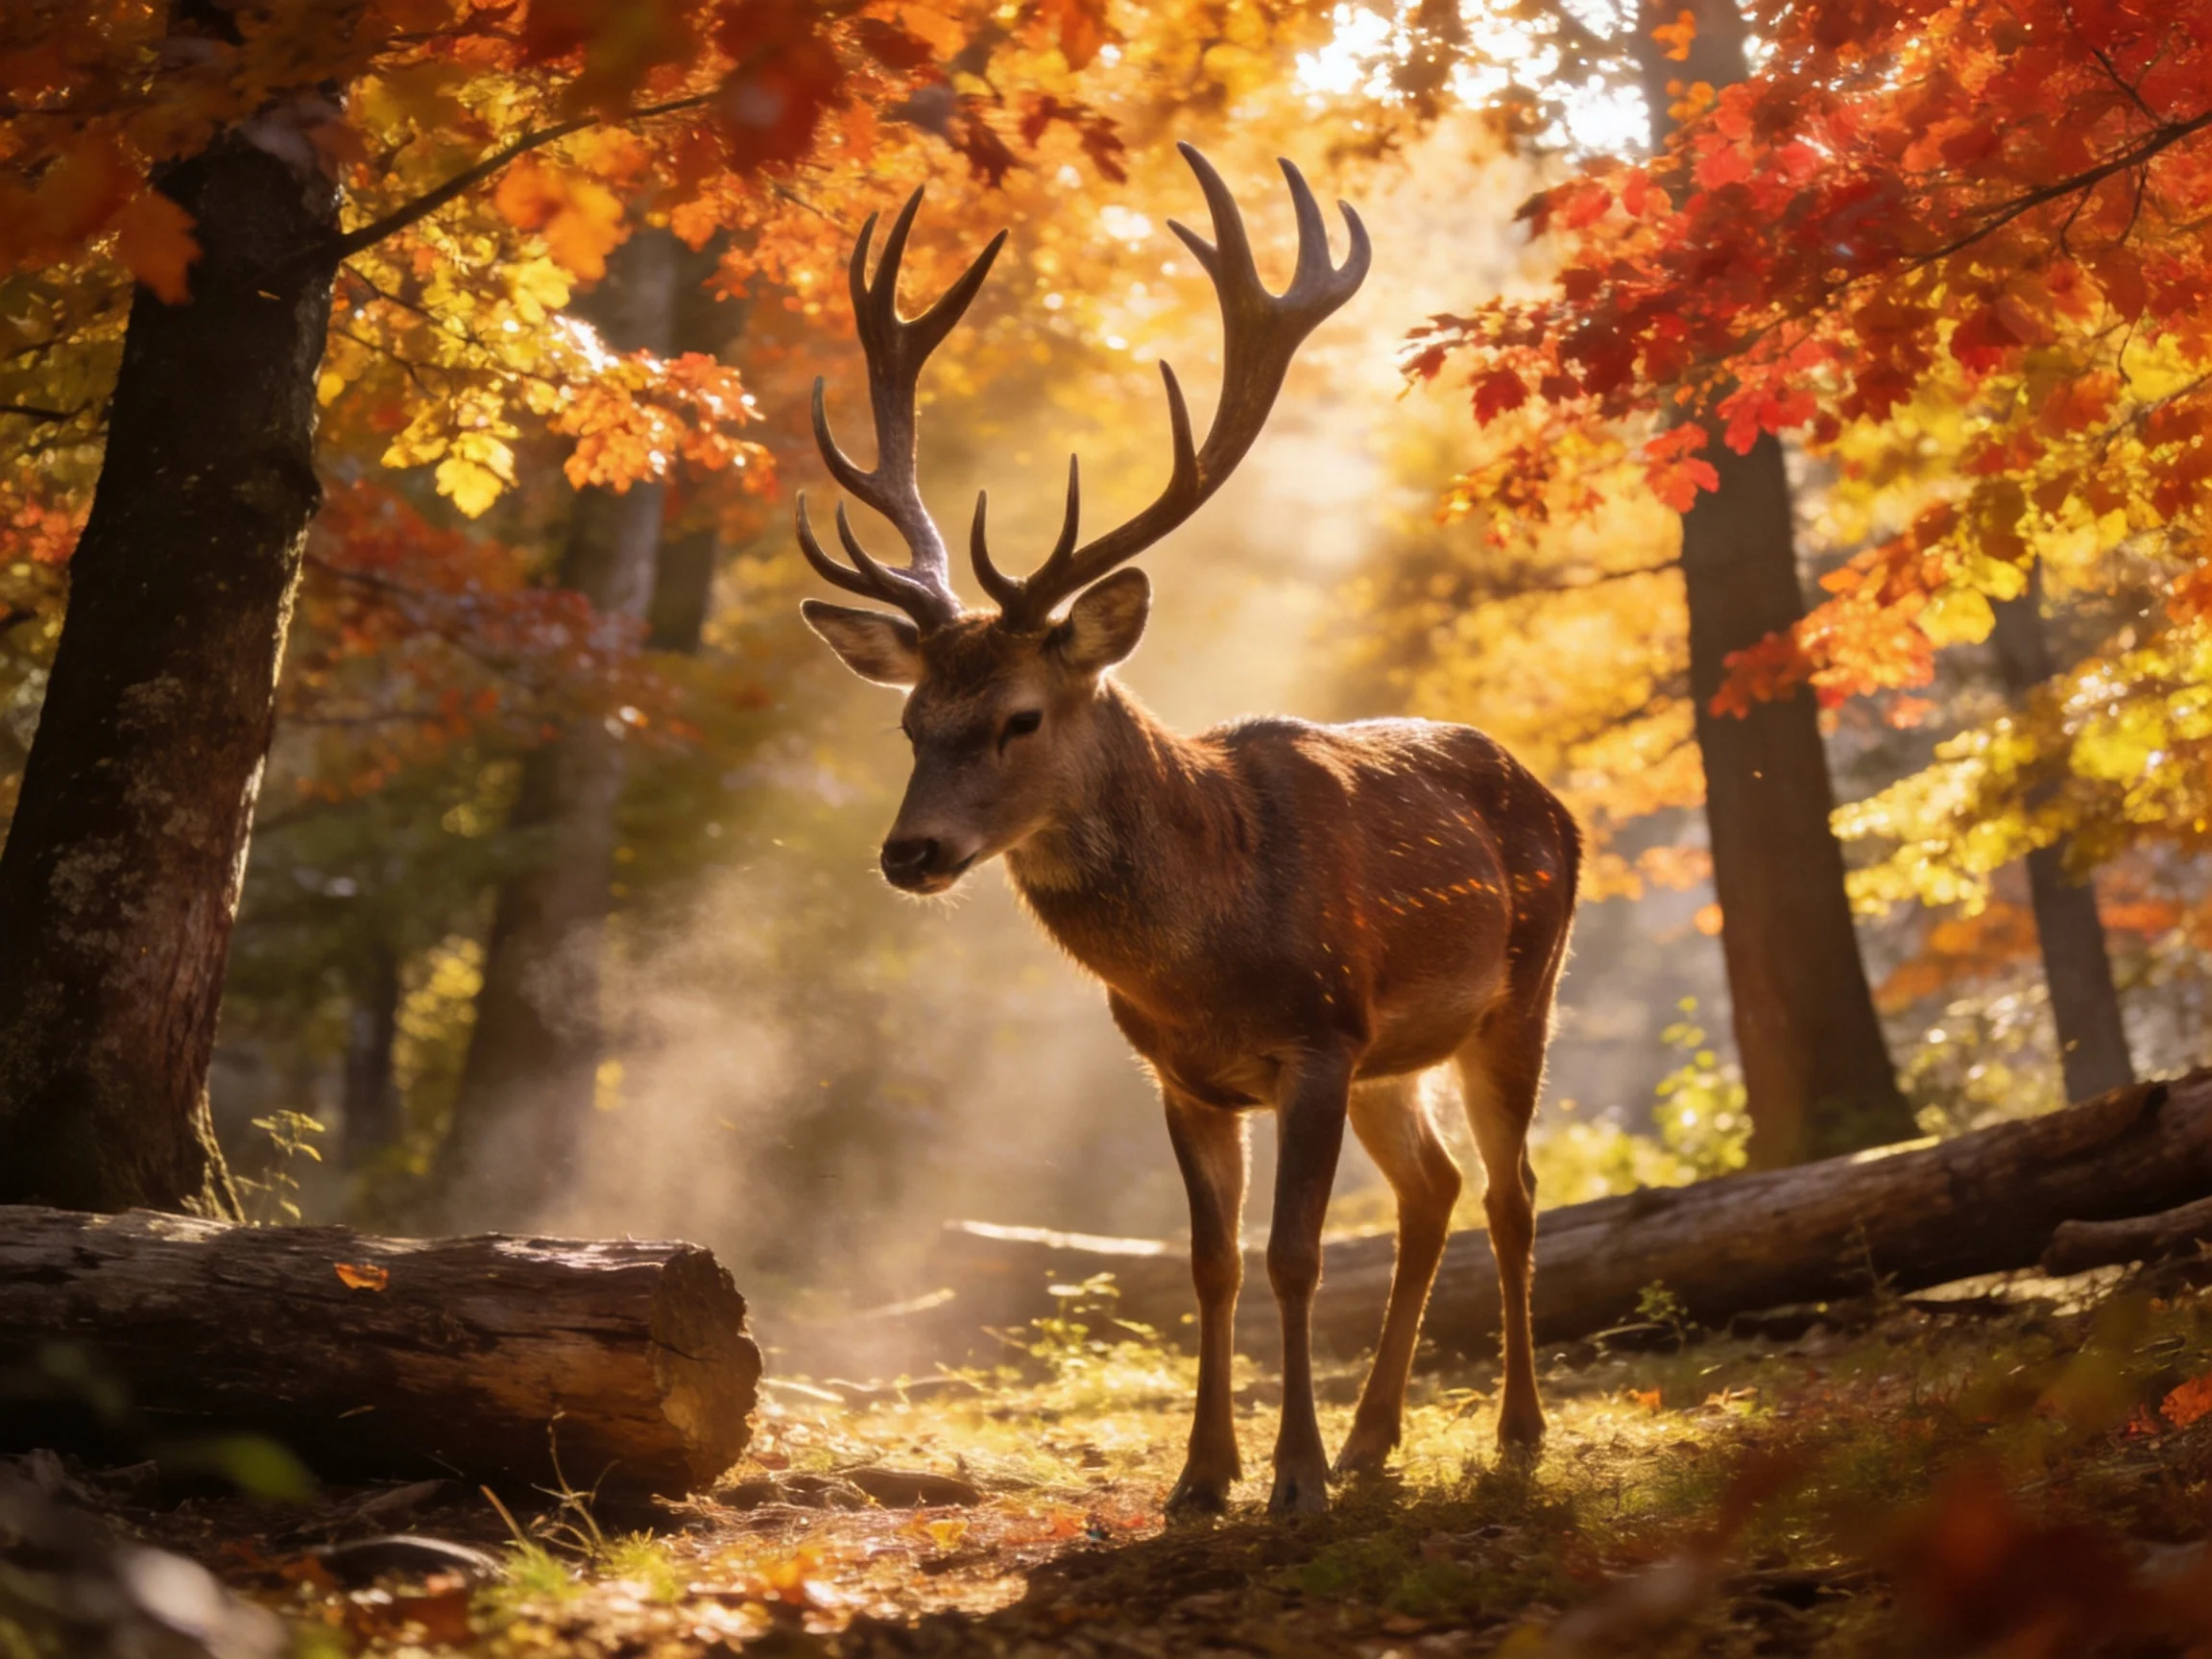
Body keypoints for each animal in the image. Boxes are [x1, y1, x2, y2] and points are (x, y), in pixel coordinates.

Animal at [795, 145, 1580, 1517]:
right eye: (907, 721)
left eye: (1019, 717)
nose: (910, 854)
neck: (1205, 956)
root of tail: (1549, 795)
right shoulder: (1181, 1073)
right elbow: (1211, 1267)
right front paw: (1205, 1477)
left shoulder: (1318, 1036)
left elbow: (1294, 1256)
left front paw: (1293, 1479)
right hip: (1399, 1055)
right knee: (1432, 1192)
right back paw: (1379, 1438)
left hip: (1519, 991)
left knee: (1511, 1192)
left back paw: (1516, 1431)